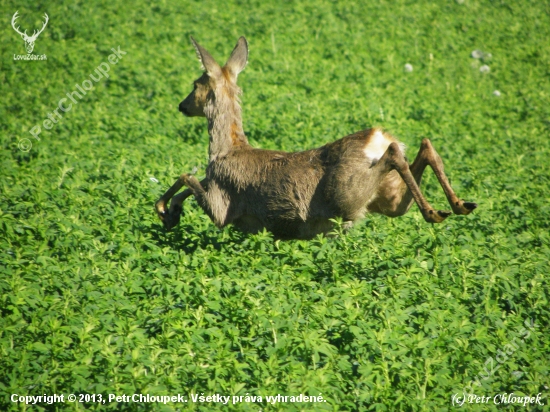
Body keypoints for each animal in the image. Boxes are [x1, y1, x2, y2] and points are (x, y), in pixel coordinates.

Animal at [155, 37, 478, 240]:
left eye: (195, 84)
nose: (182, 105)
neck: (226, 149)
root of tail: (377, 137)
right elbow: (190, 179)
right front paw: (170, 212)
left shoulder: (221, 206)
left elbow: (186, 176)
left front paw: (165, 210)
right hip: (388, 199)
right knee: (423, 148)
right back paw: (459, 205)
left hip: (348, 196)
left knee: (396, 154)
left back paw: (435, 212)